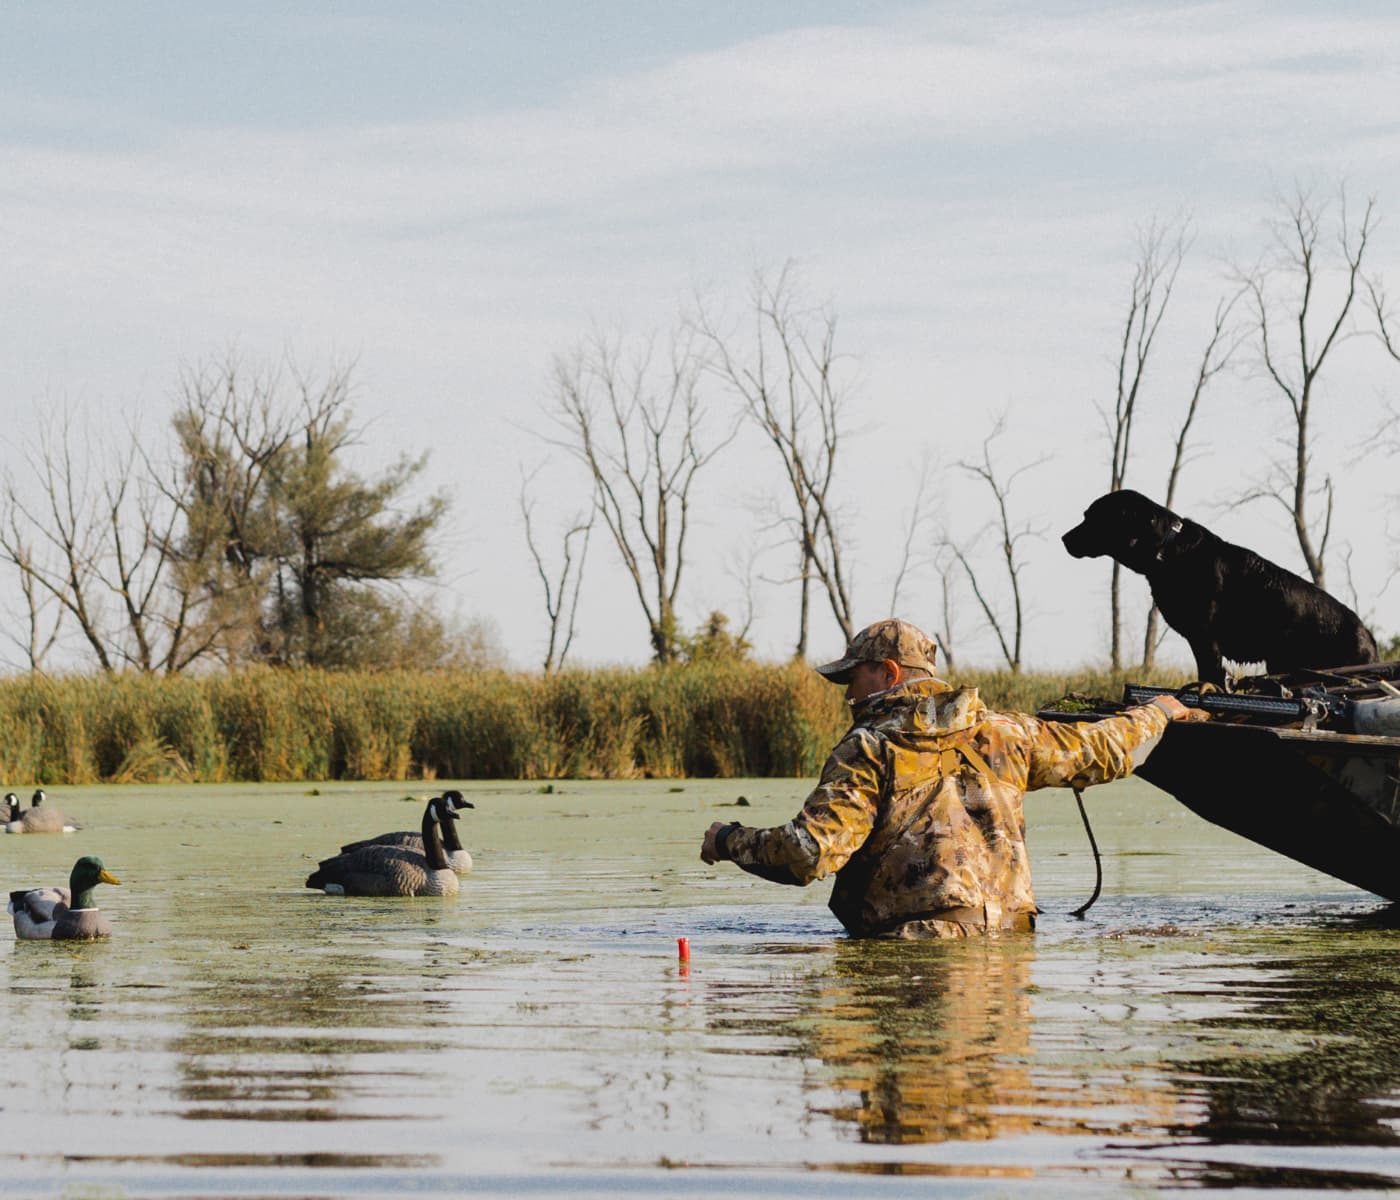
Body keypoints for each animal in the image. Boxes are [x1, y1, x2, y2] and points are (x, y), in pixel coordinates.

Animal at [1058, 487, 1377, 688]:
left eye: (1091, 517)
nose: (1064, 538)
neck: (1167, 551)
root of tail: (1369, 638)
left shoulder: (1205, 638)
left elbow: (1210, 676)